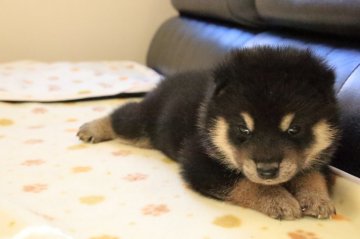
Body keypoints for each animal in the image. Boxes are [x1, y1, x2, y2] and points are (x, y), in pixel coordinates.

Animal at [77, 47, 338, 220]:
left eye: (294, 129)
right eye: (243, 129)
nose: (267, 170)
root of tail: (165, 83)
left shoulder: (320, 159)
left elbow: (313, 175)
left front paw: (317, 199)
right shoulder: (198, 163)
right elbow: (245, 183)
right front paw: (279, 198)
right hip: (143, 123)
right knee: (123, 114)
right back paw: (93, 128)